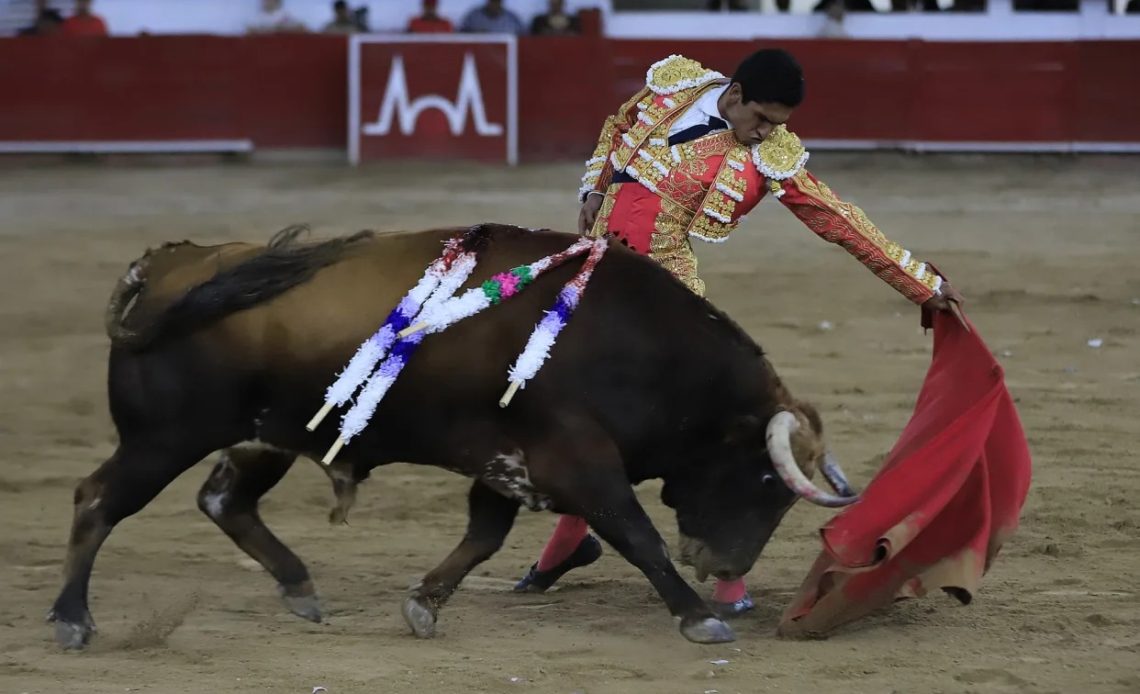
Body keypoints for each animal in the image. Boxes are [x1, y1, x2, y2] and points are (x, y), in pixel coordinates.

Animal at [51, 223, 857, 647]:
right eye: (765, 478)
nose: (726, 567)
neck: (637, 346)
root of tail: (169, 262)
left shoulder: (510, 461)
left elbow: (483, 537)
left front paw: (424, 603)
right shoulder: (579, 459)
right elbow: (636, 534)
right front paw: (698, 618)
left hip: (259, 437)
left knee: (225, 502)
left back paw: (301, 589)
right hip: (163, 437)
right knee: (98, 499)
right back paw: (71, 619)